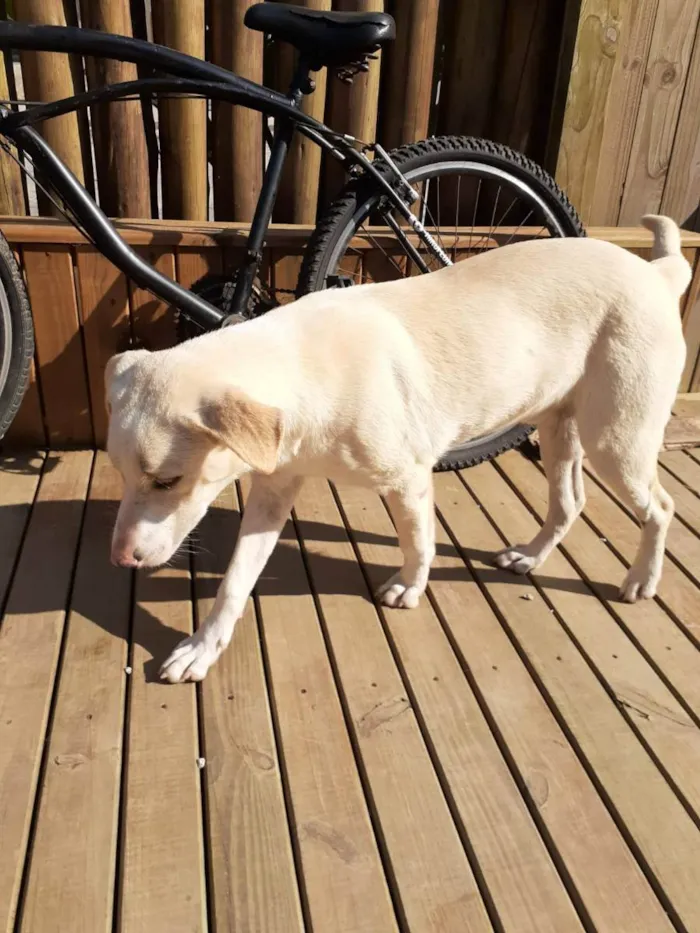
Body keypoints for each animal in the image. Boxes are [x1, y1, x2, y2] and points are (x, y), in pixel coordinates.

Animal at [105, 217, 688, 684]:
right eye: (124, 476)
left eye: (167, 480)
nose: (120, 559)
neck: (302, 373)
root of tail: (655, 272)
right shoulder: (273, 491)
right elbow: (234, 582)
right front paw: (202, 648)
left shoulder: (408, 478)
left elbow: (418, 542)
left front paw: (409, 588)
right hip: (558, 426)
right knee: (570, 502)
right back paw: (530, 555)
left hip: (615, 438)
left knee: (661, 506)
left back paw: (641, 580)